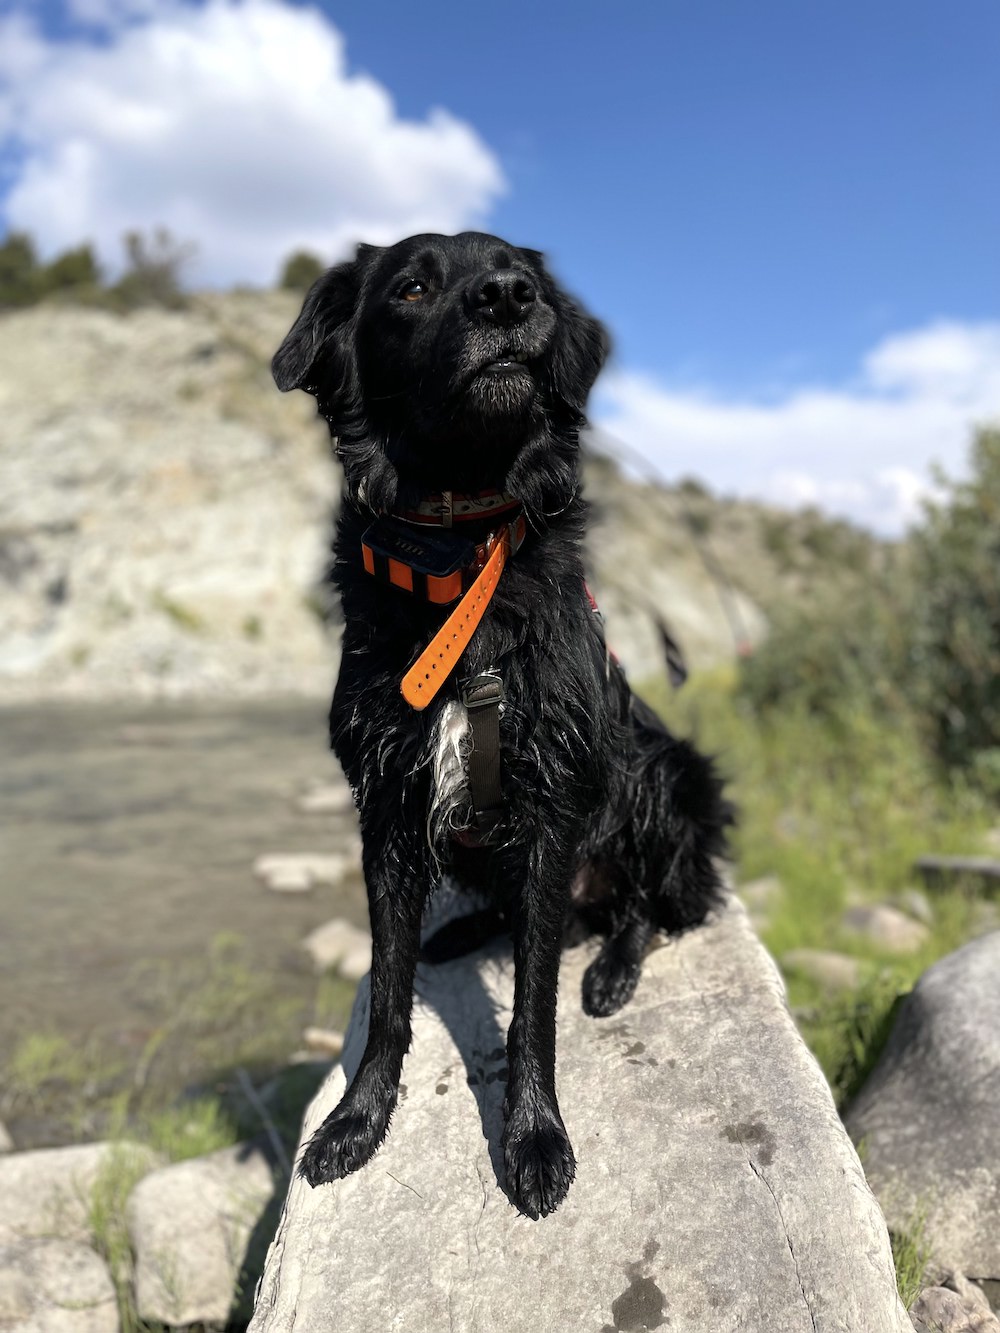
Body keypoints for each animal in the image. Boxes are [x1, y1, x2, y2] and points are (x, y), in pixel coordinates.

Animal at [272, 231, 730, 1221]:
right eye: (410, 288)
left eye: (527, 283)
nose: (508, 298)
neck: (459, 554)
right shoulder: (388, 804)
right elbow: (392, 992)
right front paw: (357, 1121)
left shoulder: (553, 803)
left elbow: (533, 1006)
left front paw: (535, 1139)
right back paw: (465, 931)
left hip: (668, 773)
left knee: (646, 906)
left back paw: (612, 968)